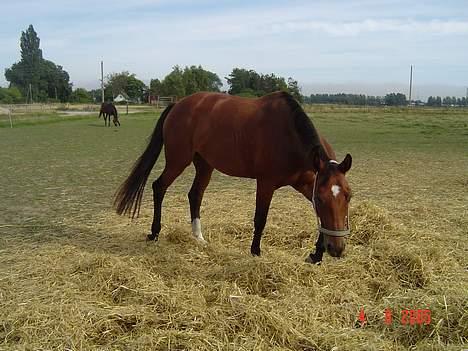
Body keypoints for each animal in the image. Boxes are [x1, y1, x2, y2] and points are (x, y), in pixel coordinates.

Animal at [114, 92, 352, 262]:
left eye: (348, 197)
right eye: (321, 198)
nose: (337, 249)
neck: (289, 135)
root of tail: (179, 104)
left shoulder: (307, 182)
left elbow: (319, 216)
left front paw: (317, 254)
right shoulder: (266, 183)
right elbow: (260, 219)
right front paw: (255, 252)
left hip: (205, 165)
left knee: (195, 195)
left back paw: (198, 237)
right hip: (178, 161)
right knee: (159, 187)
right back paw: (154, 233)